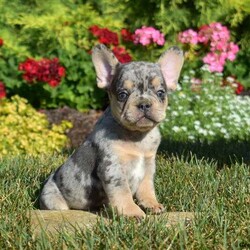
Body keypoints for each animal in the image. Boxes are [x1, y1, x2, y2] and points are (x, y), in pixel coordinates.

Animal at [39, 44, 184, 218]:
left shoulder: (148, 166)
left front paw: (152, 204)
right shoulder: (113, 168)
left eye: (161, 92)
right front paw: (132, 212)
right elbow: (122, 192)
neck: (137, 135)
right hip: (52, 198)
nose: (143, 104)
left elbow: (147, 188)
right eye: (122, 95)